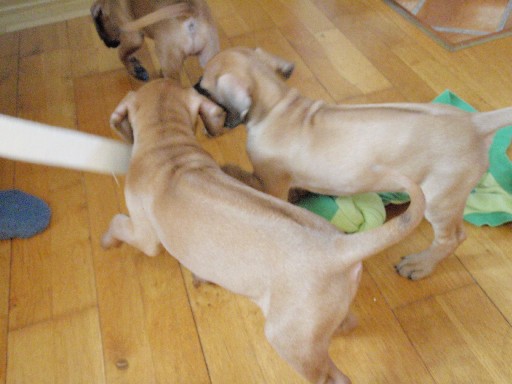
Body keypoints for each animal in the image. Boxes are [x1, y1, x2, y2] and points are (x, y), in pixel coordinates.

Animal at [91, 0, 219, 80]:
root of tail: (190, 11)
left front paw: (133, 70)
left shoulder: (133, 38)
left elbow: (121, 54)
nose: (107, 45)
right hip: (209, 58)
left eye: (99, 29)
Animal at [102, 79, 426, 382]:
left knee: (334, 376)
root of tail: (339, 248)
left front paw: (108, 240)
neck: (166, 144)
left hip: (289, 339)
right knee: (345, 322)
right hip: (318, 318)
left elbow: (119, 223)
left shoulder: (144, 235)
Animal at [195, 46, 512, 280]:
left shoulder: (272, 181)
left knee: (452, 238)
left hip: (440, 198)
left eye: (204, 87)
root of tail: (475, 123)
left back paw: (420, 264)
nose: (193, 85)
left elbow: (259, 187)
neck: (277, 107)